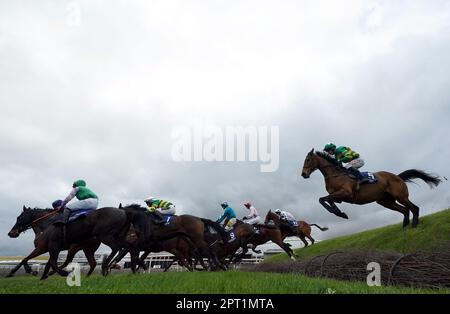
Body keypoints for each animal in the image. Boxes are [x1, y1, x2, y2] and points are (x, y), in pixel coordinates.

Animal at [300, 148, 442, 227]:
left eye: (307, 160)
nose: (303, 174)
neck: (336, 174)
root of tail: (397, 176)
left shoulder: (346, 193)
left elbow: (324, 199)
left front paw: (340, 213)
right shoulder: (339, 197)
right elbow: (325, 199)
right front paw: (340, 213)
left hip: (401, 196)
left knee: (414, 208)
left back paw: (414, 225)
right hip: (385, 201)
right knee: (405, 210)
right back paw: (405, 226)